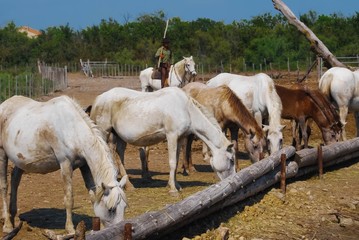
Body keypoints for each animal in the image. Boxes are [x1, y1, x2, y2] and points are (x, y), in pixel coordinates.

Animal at [0, 94, 129, 233]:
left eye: (124, 207)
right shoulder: (65, 164)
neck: (74, 130)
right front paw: (70, 229)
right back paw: (7, 224)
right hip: (2, 153)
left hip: (21, 160)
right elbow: (69, 198)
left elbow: (93, 196)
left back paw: (13, 216)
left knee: (15, 179)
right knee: (4, 185)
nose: (119, 229)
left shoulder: (84, 166)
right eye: (111, 210)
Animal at [89, 86, 236, 193]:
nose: (232, 181)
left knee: (120, 155)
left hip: (119, 137)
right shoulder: (171, 136)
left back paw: (129, 186)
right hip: (104, 132)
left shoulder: (179, 138)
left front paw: (176, 185)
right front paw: (173, 189)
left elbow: (176, 161)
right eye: (231, 160)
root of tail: (98, 99)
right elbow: (172, 162)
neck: (186, 109)